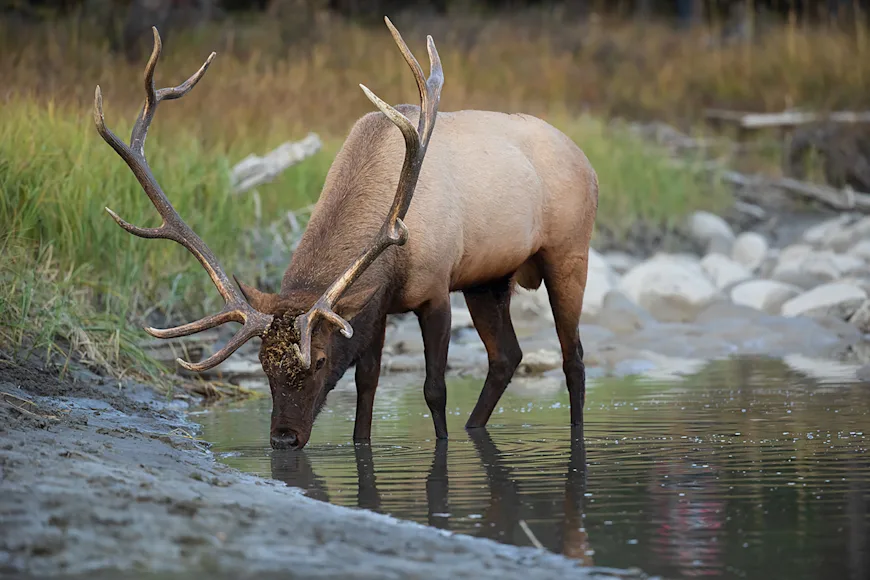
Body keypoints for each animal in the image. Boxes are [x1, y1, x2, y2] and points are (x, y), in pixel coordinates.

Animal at [95, 18, 598, 450]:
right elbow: (366, 385)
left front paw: (441, 444)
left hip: (569, 252)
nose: (283, 438)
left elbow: (434, 388)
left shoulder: (435, 288)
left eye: (318, 360)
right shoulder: (375, 307)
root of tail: (586, 160)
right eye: (261, 364)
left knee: (573, 356)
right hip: (488, 279)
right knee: (507, 356)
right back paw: (477, 427)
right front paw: (361, 445)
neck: (394, 260)